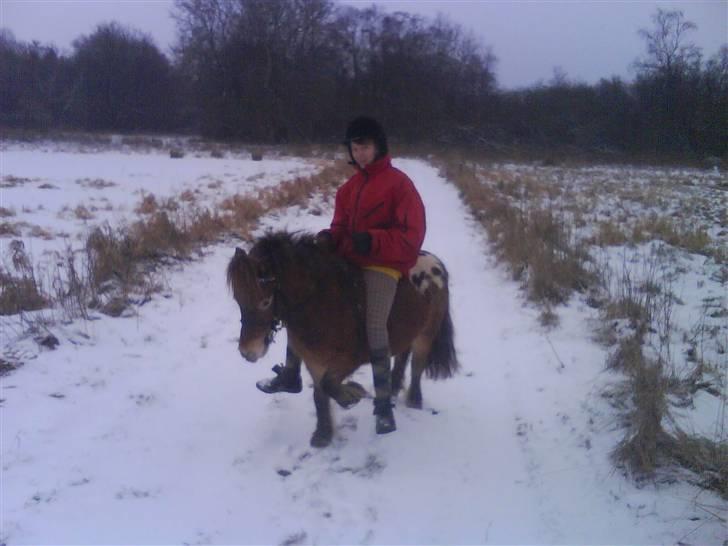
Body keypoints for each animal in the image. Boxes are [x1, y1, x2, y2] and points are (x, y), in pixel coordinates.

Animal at [228, 231, 458, 446]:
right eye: (238, 300)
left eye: (266, 302)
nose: (248, 352)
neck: (323, 303)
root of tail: (436, 263)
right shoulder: (314, 360)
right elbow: (319, 395)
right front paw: (323, 435)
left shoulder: (348, 361)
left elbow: (329, 384)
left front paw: (351, 395)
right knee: (402, 357)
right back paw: (391, 391)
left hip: (425, 335)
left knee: (417, 366)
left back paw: (409, 403)